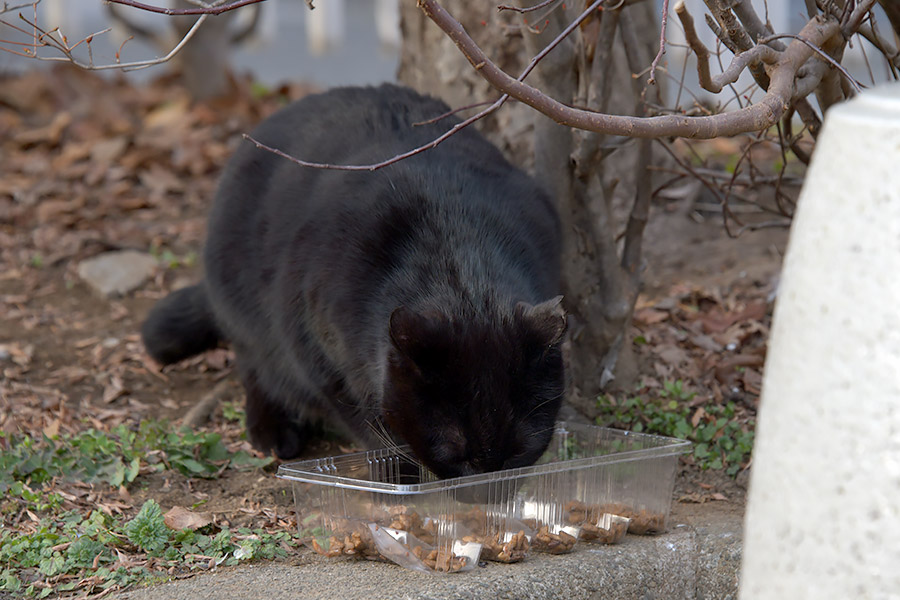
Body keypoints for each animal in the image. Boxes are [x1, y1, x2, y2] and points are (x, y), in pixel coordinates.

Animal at [140, 84, 564, 478]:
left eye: (518, 452)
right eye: (453, 452)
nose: (485, 488)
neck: (457, 253)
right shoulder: (316, 353)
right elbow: (368, 423)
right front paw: (401, 476)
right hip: (244, 309)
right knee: (254, 367)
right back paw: (272, 430)